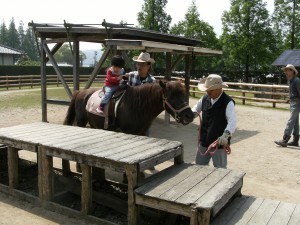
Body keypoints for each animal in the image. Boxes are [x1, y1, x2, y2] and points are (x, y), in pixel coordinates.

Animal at [63, 80, 195, 134]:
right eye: (171, 97)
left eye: (184, 94)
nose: (189, 115)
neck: (137, 106)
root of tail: (80, 92)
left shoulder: (141, 133)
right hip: (81, 122)